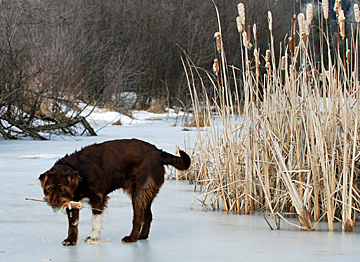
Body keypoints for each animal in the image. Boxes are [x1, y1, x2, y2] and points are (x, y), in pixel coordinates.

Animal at [38, 139, 191, 246]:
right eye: (49, 188)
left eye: (63, 189)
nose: (53, 203)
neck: (79, 172)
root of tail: (159, 153)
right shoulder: (72, 203)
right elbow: (73, 224)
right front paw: (70, 240)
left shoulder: (98, 198)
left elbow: (95, 220)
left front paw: (93, 237)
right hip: (146, 193)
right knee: (148, 215)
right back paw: (142, 236)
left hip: (139, 193)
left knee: (138, 217)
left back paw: (132, 237)